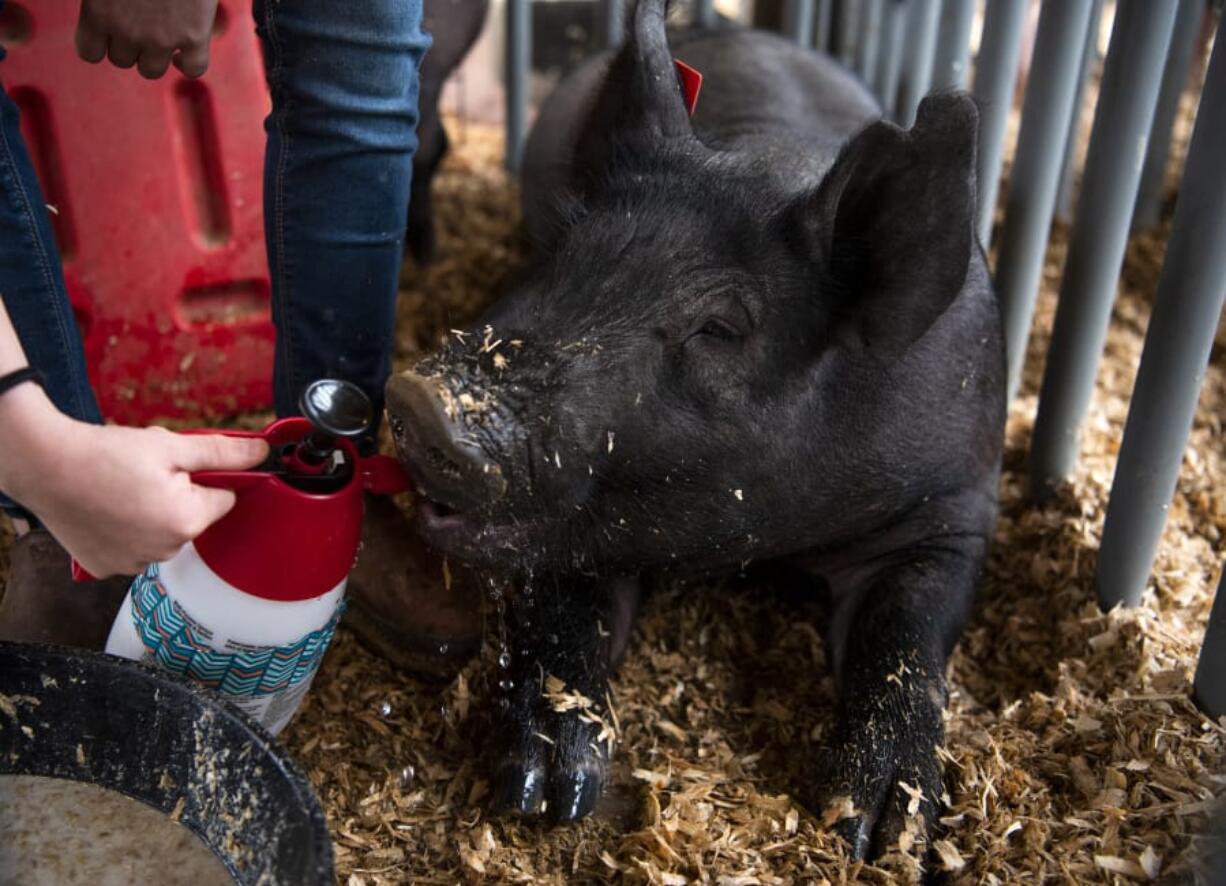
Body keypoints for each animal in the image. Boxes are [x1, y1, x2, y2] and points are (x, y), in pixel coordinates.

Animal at [384, 0, 1005, 857]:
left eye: (718, 328)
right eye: (561, 256)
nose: (419, 400)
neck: (778, 540)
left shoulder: (954, 507)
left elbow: (905, 638)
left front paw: (880, 834)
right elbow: (561, 607)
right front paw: (548, 791)